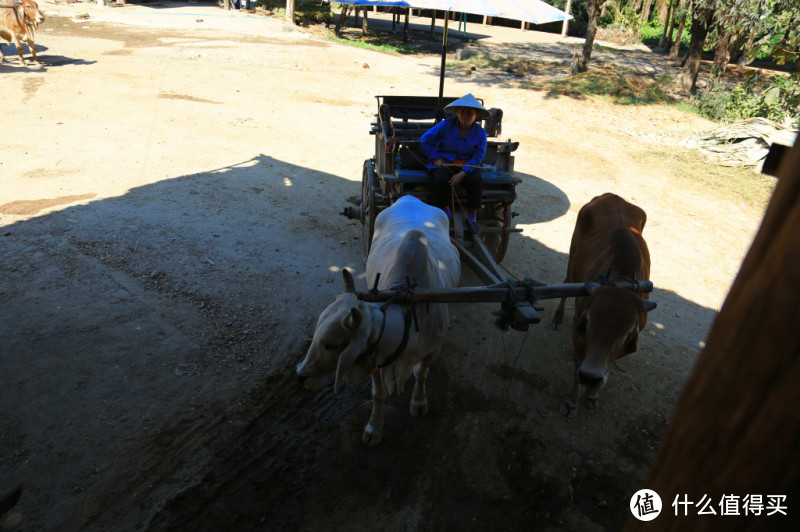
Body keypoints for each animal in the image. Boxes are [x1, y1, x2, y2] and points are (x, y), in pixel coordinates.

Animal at [552, 193, 656, 418]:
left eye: (626, 334)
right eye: (590, 322)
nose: (590, 376)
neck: (622, 281)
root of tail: (611, 195)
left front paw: (592, 395)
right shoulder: (578, 329)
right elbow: (577, 363)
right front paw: (571, 401)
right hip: (573, 255)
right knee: (566, 282)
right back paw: (557, 316)